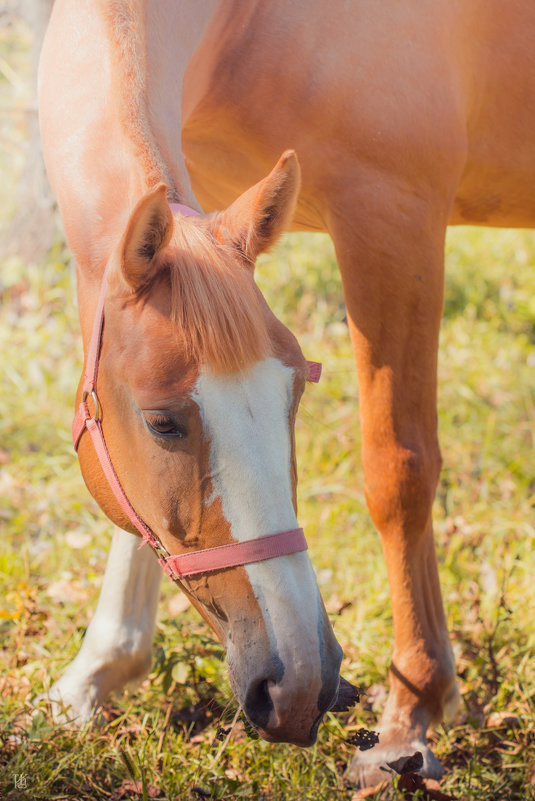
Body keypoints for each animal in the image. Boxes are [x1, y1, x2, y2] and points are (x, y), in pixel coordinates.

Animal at [38, 0, 535, 788]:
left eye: (294, 392)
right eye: (160, 422)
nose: (301, 682)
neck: (254, 24)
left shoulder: (391, 218)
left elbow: (398, 471)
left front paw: (410, 716)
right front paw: (98, 670)